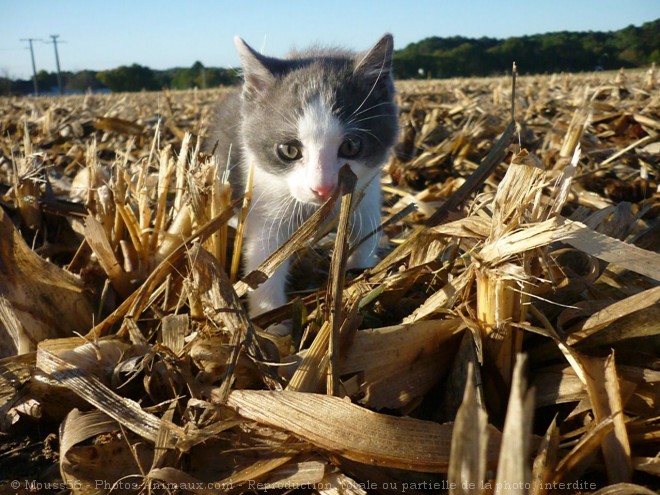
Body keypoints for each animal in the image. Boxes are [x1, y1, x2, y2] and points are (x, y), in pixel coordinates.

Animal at [211, 35, 398, 322]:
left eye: (350, 146)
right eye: (289, 150)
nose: (323, 188)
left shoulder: (366, 192)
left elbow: (365, 235)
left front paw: (360, 275)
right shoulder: (265, 205)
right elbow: (264, 264)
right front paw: (272, 321)